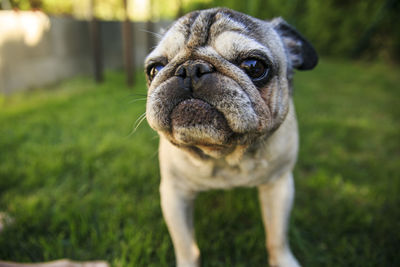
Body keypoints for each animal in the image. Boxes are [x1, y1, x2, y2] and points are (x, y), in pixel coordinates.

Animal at [145, 7, 318, 266]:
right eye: (154, 69)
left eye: (254, 66)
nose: (190, 69)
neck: (225, 154)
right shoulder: (174, 194)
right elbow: (186, 247)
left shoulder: (279, 185)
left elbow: (277, 237)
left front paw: (284, 261)